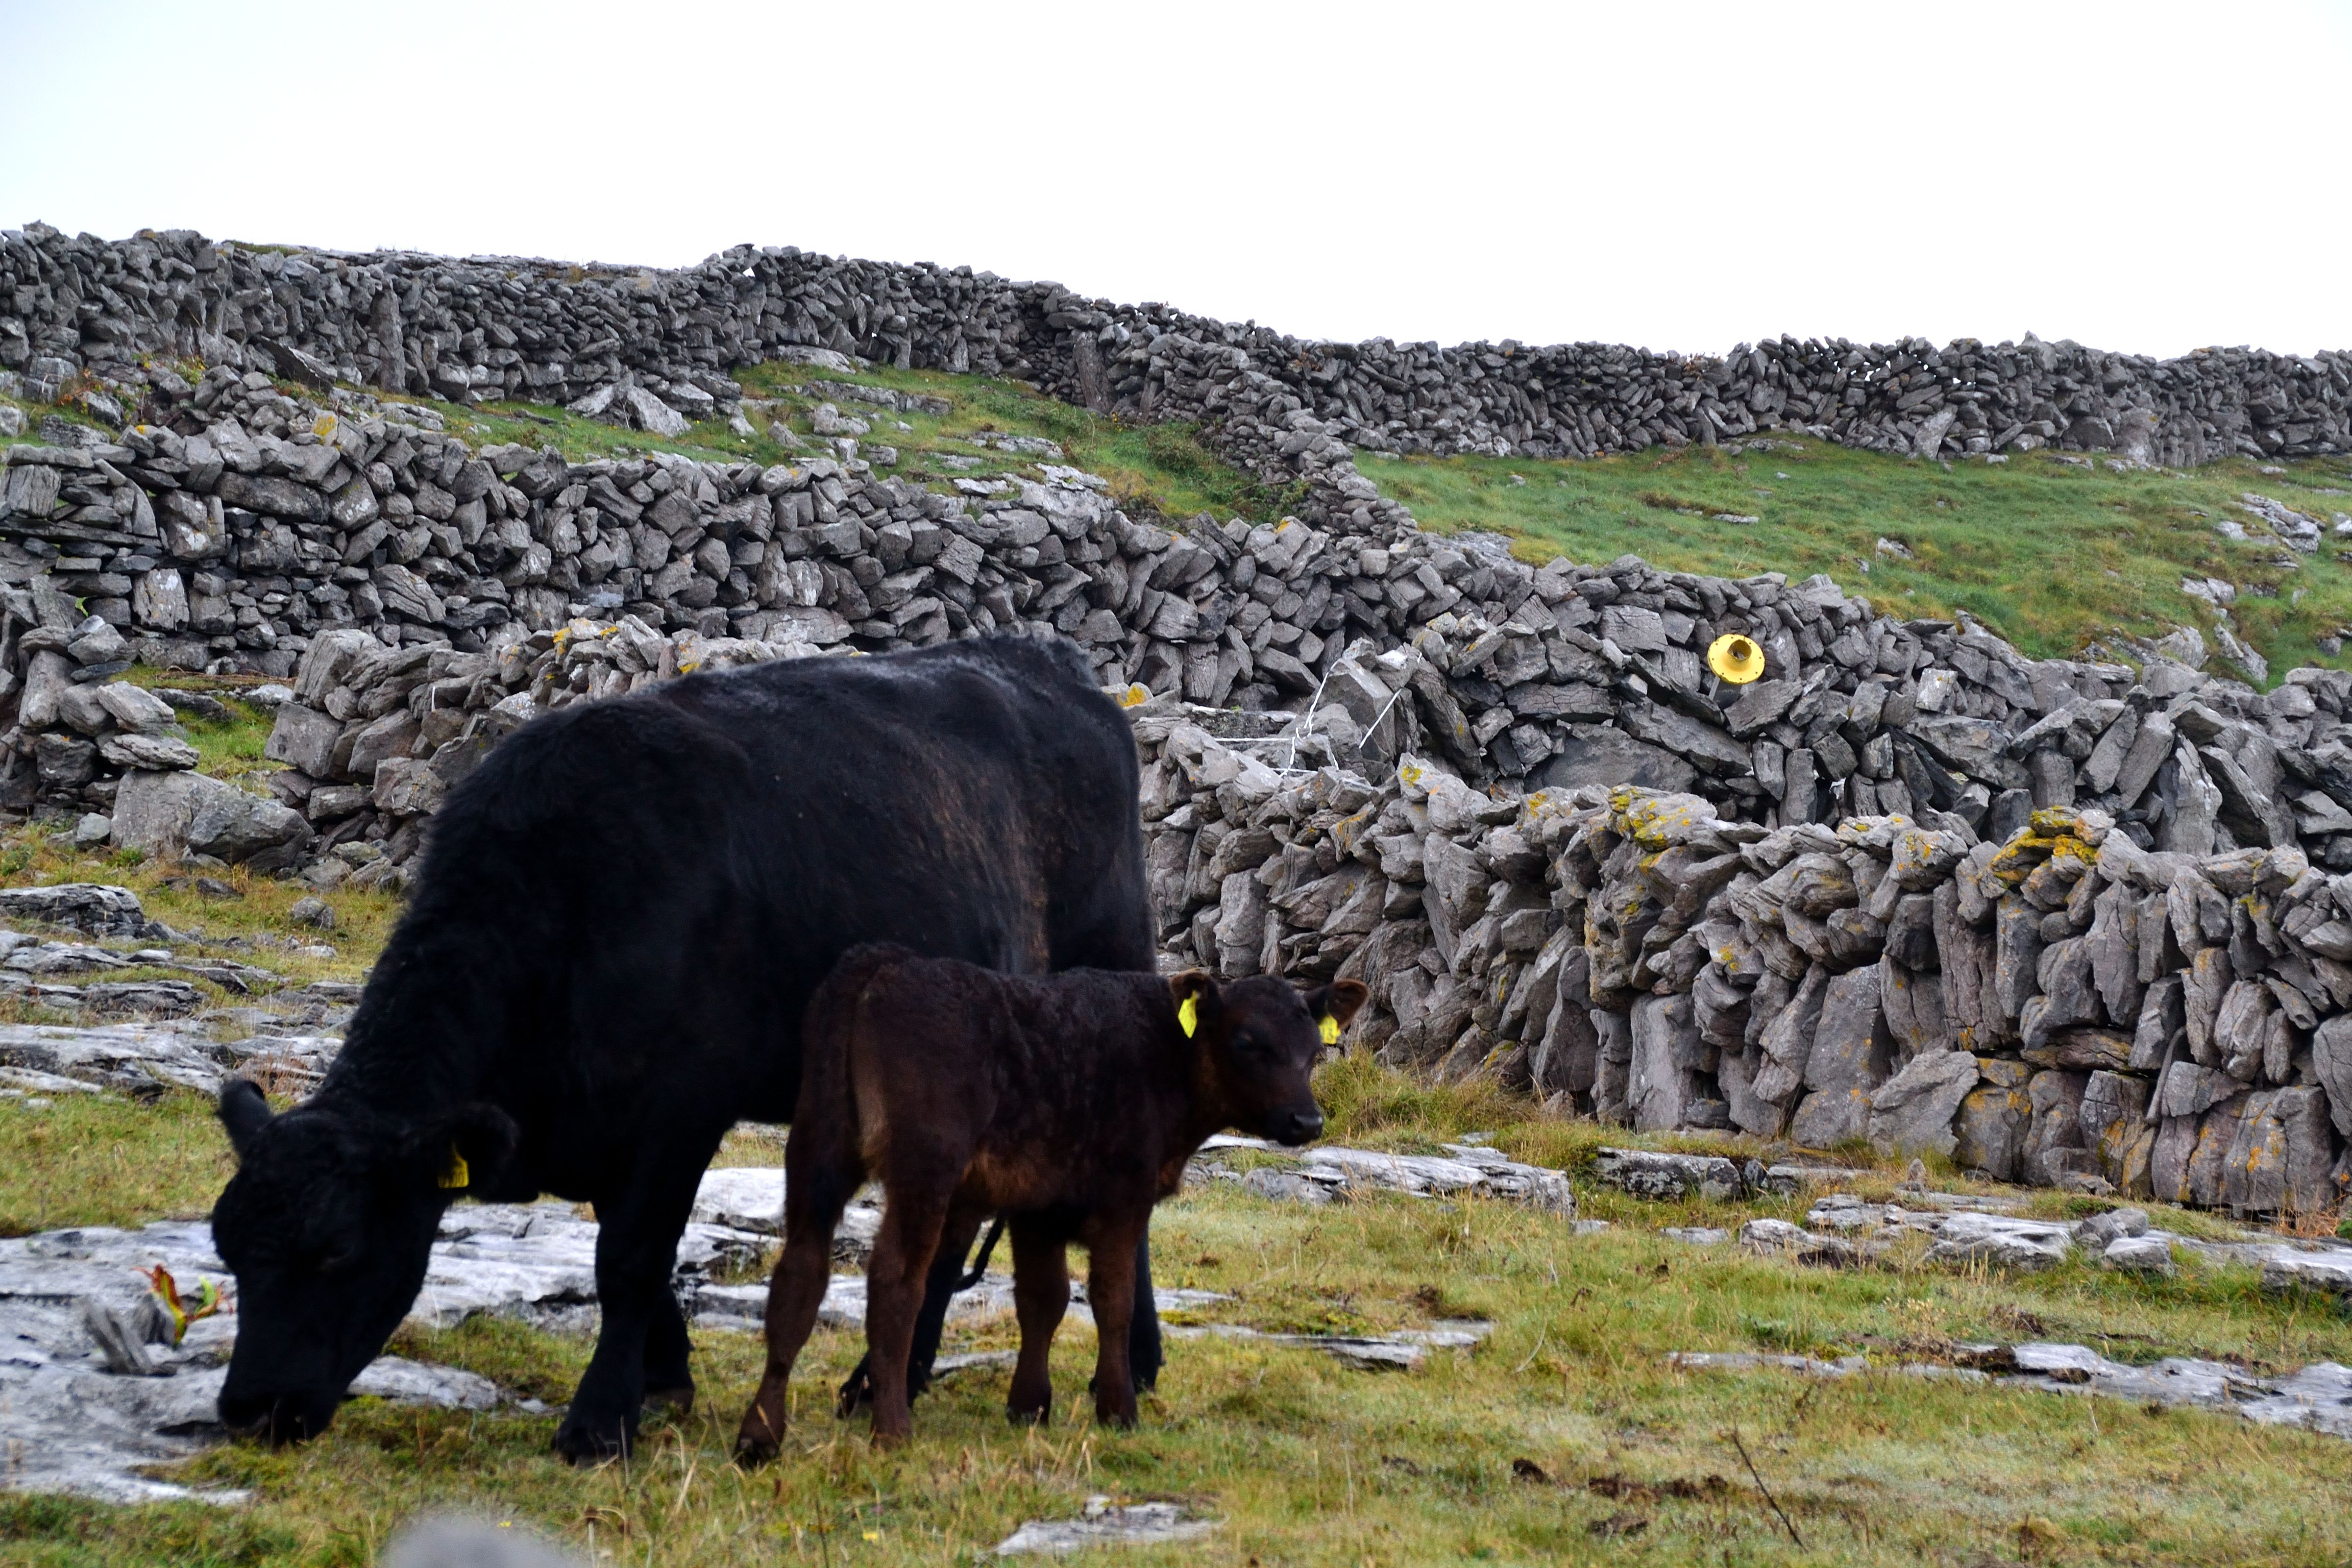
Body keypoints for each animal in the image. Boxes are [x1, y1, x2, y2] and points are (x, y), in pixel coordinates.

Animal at [209, 634, 1157, 1457]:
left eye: (338, 1249)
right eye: (227, 1248)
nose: (249, 1410)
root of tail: (1046, 660)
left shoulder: (681, 1104)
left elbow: (629, 1259)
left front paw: (598, 1423)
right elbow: (630, 1255)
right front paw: (662, 1380)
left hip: (1109, 971)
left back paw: (1126, 1367)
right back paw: (896, 1378)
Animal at [733, 940, 1364, 1457]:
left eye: (1315, 1049)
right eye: (1248, 1042)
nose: (1307, 1121)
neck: (1166, 1058)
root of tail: (886, 961)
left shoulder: (1036, 1203)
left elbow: (1044, 1299)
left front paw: (1029, 1405)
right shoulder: (1122, 1198)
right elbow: (1112, 1300)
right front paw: (1118, 1410)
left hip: (818, 1145)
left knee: (800, 1271)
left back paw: (760, 1435)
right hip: (923, 1166)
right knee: (896, 1282)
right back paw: (891, 1430)